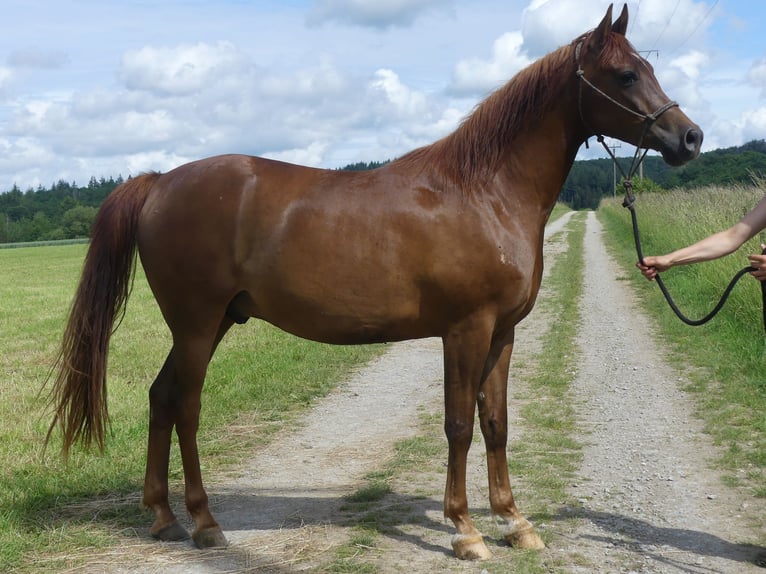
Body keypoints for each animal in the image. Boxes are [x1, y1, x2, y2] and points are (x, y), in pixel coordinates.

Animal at [48, 4, 704, 564]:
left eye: (648, 67)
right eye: (625, 74)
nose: (690, 137)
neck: (485, 191)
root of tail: (159, 182)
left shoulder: (504, 333)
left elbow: (496, 424)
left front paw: (515, 522)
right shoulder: (465, 331)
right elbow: (459, 425)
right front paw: (465, 530)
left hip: (213, 323)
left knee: (161, 398)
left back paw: (162, 518)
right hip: (197, 323)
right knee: (185, 406)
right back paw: (205, 523)